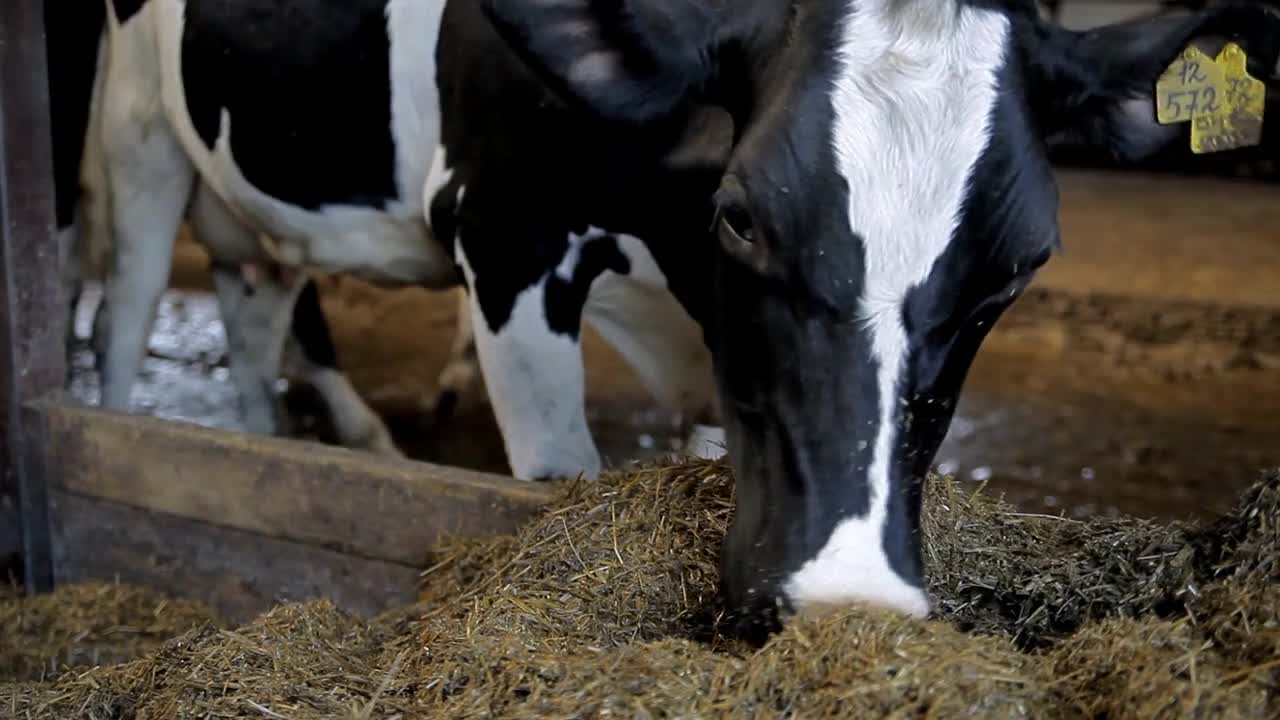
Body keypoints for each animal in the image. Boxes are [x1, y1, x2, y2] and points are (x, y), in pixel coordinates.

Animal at [55, 0, 1280, 638]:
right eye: (740, 215)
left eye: (1020, 263)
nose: (848, 595)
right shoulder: (506, 228)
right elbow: (556, 481)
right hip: (131, 131)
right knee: (119, 331)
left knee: (256, 315)